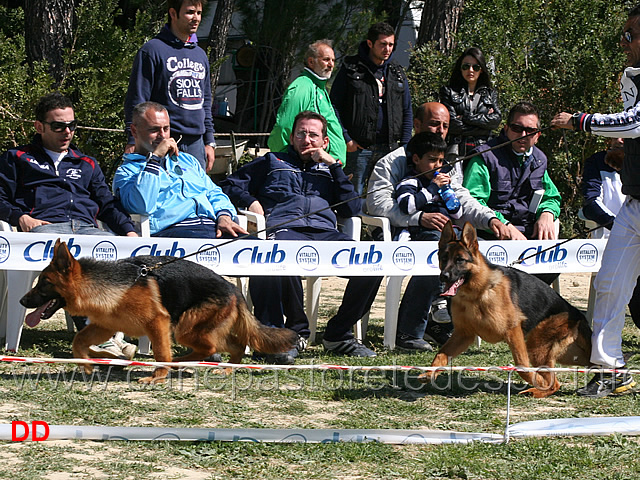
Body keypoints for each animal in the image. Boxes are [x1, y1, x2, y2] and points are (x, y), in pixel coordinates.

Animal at [21, 242, 296, 384]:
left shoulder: (158, 323)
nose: (23, 300)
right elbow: (78, 341)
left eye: (44, 283)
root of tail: (233, 289)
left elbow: (161, 351)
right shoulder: (104, 326)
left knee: (210, 348)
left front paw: (158, 376)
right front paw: (88, 364)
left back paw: (179, 363)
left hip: (186, 328)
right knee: (233, 346)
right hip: (195, 330)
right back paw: (224, 368)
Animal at [420, 223, 596, 396]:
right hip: (567, 354)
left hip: (537, 347)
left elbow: (522, 366)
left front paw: (537, 380)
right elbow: (441, 354)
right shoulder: (463, 335)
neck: (479, 292)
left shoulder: (513, 331)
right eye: (443, 259)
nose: (444, 276)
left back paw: (537, 389)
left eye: (460, 260)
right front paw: (430, 373)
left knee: (554, 382)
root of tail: (578, 315)